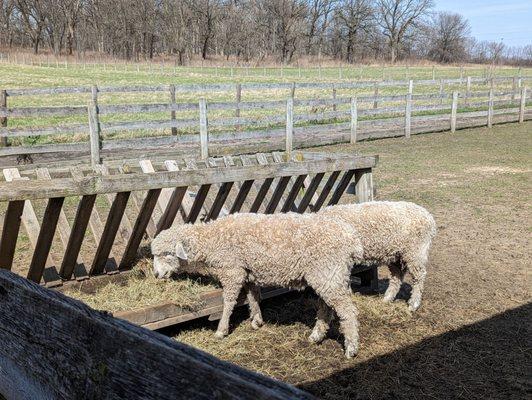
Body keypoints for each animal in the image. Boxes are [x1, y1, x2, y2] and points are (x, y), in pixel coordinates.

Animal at [151, 214, 366, 358]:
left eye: (167, 254)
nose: (156, 274)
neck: (213, 239)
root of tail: (352, 240)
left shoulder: (232, 270)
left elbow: (229, 301)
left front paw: (221, 330)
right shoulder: (248, 272)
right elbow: (252, 296)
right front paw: (257, 320)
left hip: (329, 272)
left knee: (347, 311)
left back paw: (351, 348)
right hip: (329, 275)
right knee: (326, 308)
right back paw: (316, 336)